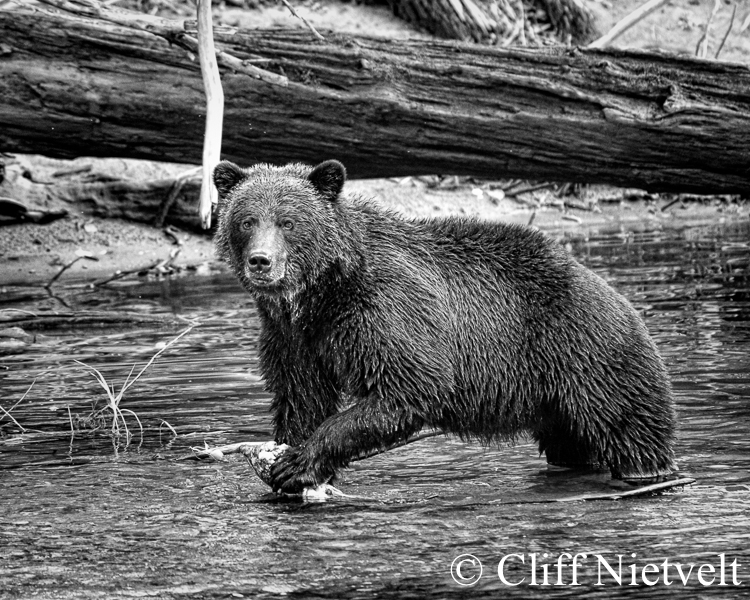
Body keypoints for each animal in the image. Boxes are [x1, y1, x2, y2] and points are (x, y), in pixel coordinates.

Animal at [214, 158, 680, 492]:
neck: (320, 294)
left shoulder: (384, 309)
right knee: (573, 444)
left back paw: (645, 474)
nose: (261, 261)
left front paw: (298, 463)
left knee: (631, 433)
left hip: (593, 361)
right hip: (559, 401)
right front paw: (290, 457)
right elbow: (301, 396)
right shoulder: (293, 337)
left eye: (289, 221)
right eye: (247, 220)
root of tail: (620, 300)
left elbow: (409, 385)